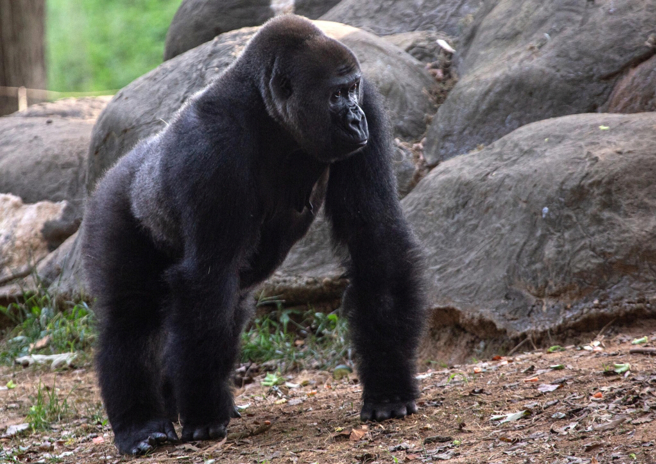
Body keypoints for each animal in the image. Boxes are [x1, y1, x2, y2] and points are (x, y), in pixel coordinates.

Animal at [82, 13, 422, 454]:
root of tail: (119, 165)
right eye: (335, 96)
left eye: (352, 90)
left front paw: (389, 388)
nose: (355, 119)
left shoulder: (373, 106)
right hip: (111, 203)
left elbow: (375, 237)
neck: (268, 111)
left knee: (229, 306)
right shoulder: (211, 145)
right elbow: (208, 273)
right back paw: (142, 424)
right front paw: (204, 416)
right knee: (131, 316)